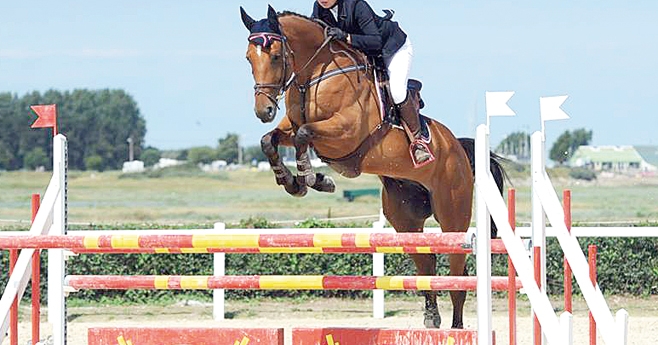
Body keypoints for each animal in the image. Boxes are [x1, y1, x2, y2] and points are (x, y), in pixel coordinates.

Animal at [238, 5, 504, 328]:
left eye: (276, 56)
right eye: (249, 58)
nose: (263, 110)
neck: (314, 75)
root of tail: (459, 148)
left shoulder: (345, 132)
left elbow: (304, 135)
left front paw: (313, 178)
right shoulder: (291, 126)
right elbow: (270, 140)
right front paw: (291, 181)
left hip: (453, 212)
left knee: (458, 275)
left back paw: (457, 328)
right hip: (405, 220)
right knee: (426, 263)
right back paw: (431, 317)